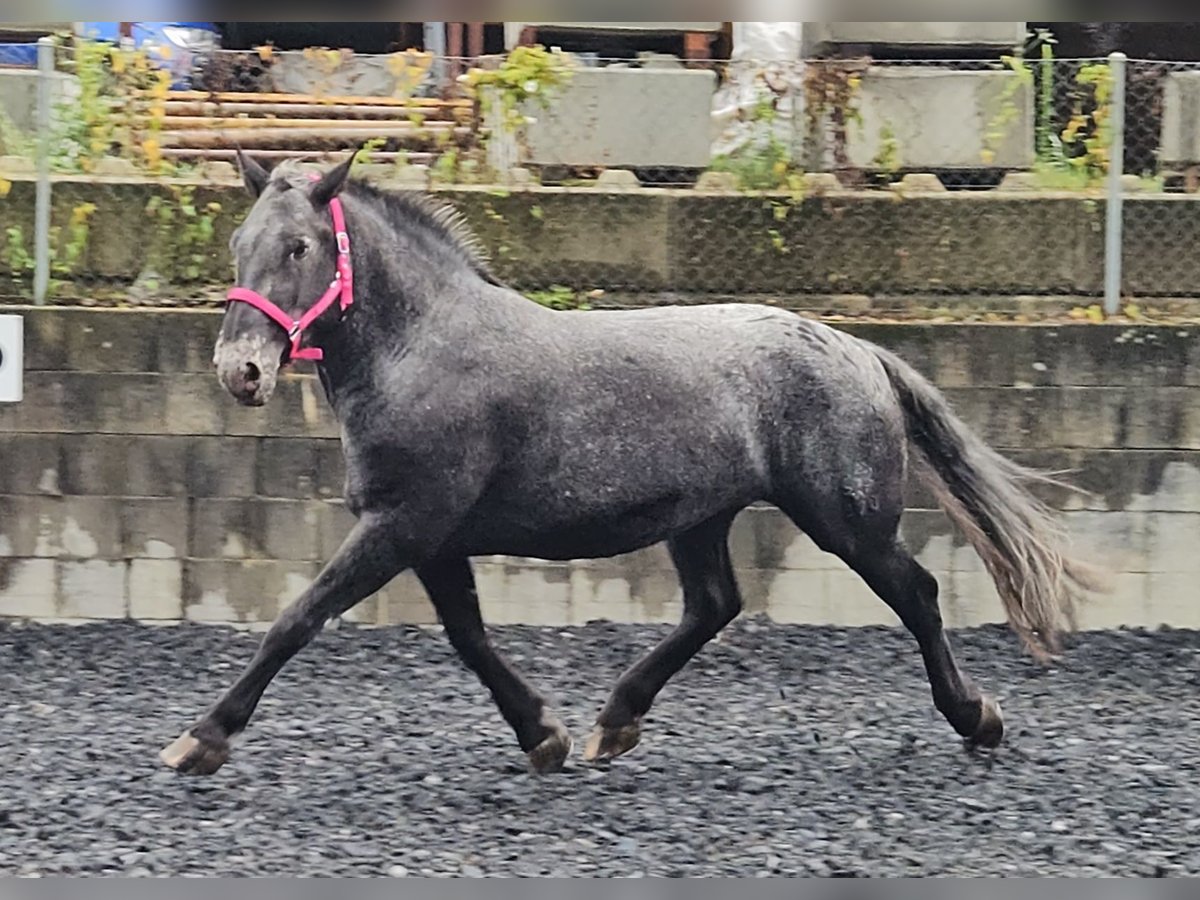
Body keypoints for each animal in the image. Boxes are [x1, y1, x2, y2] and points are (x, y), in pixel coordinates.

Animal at [162, 151, 1104, 777]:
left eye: (299, 248)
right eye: (240, 241)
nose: (240, 371)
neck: (420, 348)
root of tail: (860, 351)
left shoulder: (403, 523)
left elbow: (298, 618)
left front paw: (200, 739)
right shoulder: (430, 536)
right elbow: (468, 635)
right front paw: (544, 735)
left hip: (847, 521)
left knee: (917, 593)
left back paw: (976, 717)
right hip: (703, 518)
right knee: (715, 605)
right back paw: (615, 722)